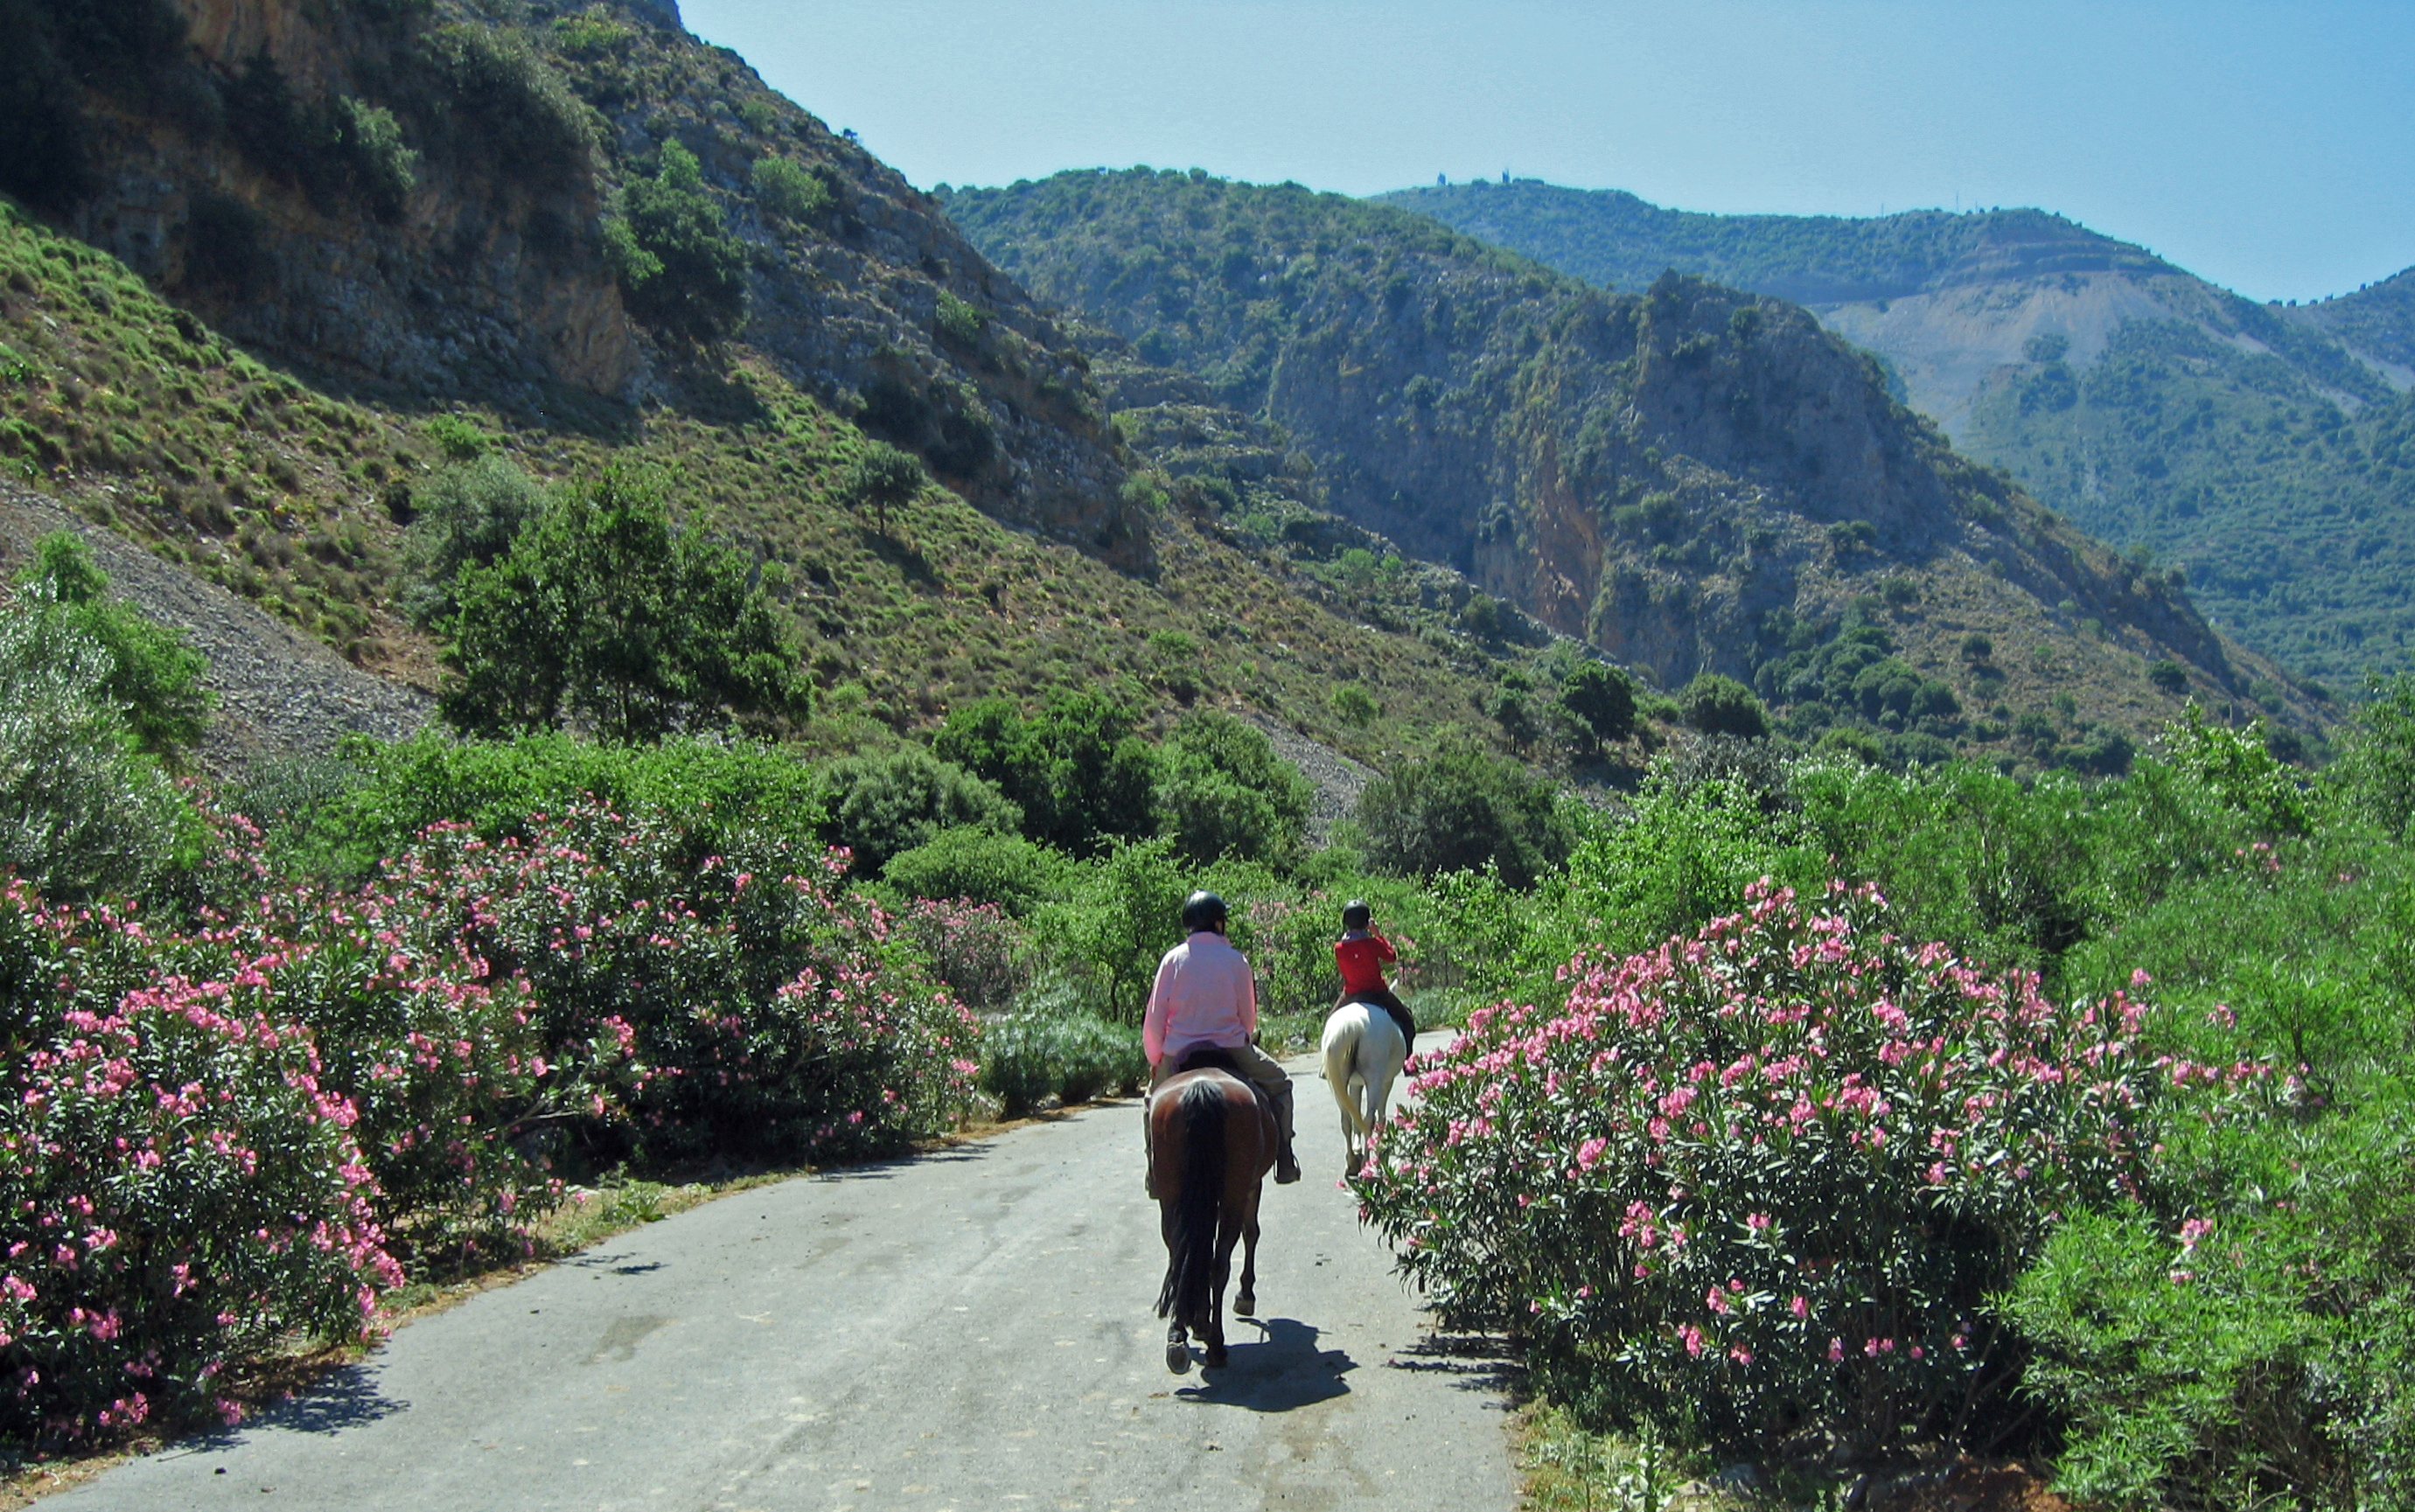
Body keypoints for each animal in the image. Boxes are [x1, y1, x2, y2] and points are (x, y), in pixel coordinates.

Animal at [1154, 1057, 1284, 1362]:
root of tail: (1202, 1087)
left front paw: (1197, 1321)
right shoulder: (1252, 1186)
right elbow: (1252, 1233)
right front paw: (1245, 1296)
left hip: (1171, 1196)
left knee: (1181, 1255)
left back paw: (1178, 1337)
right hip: (1235, 1193)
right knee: (1219, 1261)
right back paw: (1215, 1343)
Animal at [1323, 1000, 1410, 1178]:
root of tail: (1352, 1024)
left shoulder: (1355, 1083)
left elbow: (1355, 1112)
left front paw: (1358, 1148)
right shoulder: (1387, 1082)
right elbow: (1381, 1117)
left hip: (1339, 1082)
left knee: (1346, 1120)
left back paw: (1352, 1163)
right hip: (1374, 1079)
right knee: (1370, 1119)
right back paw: (1367, 1163)